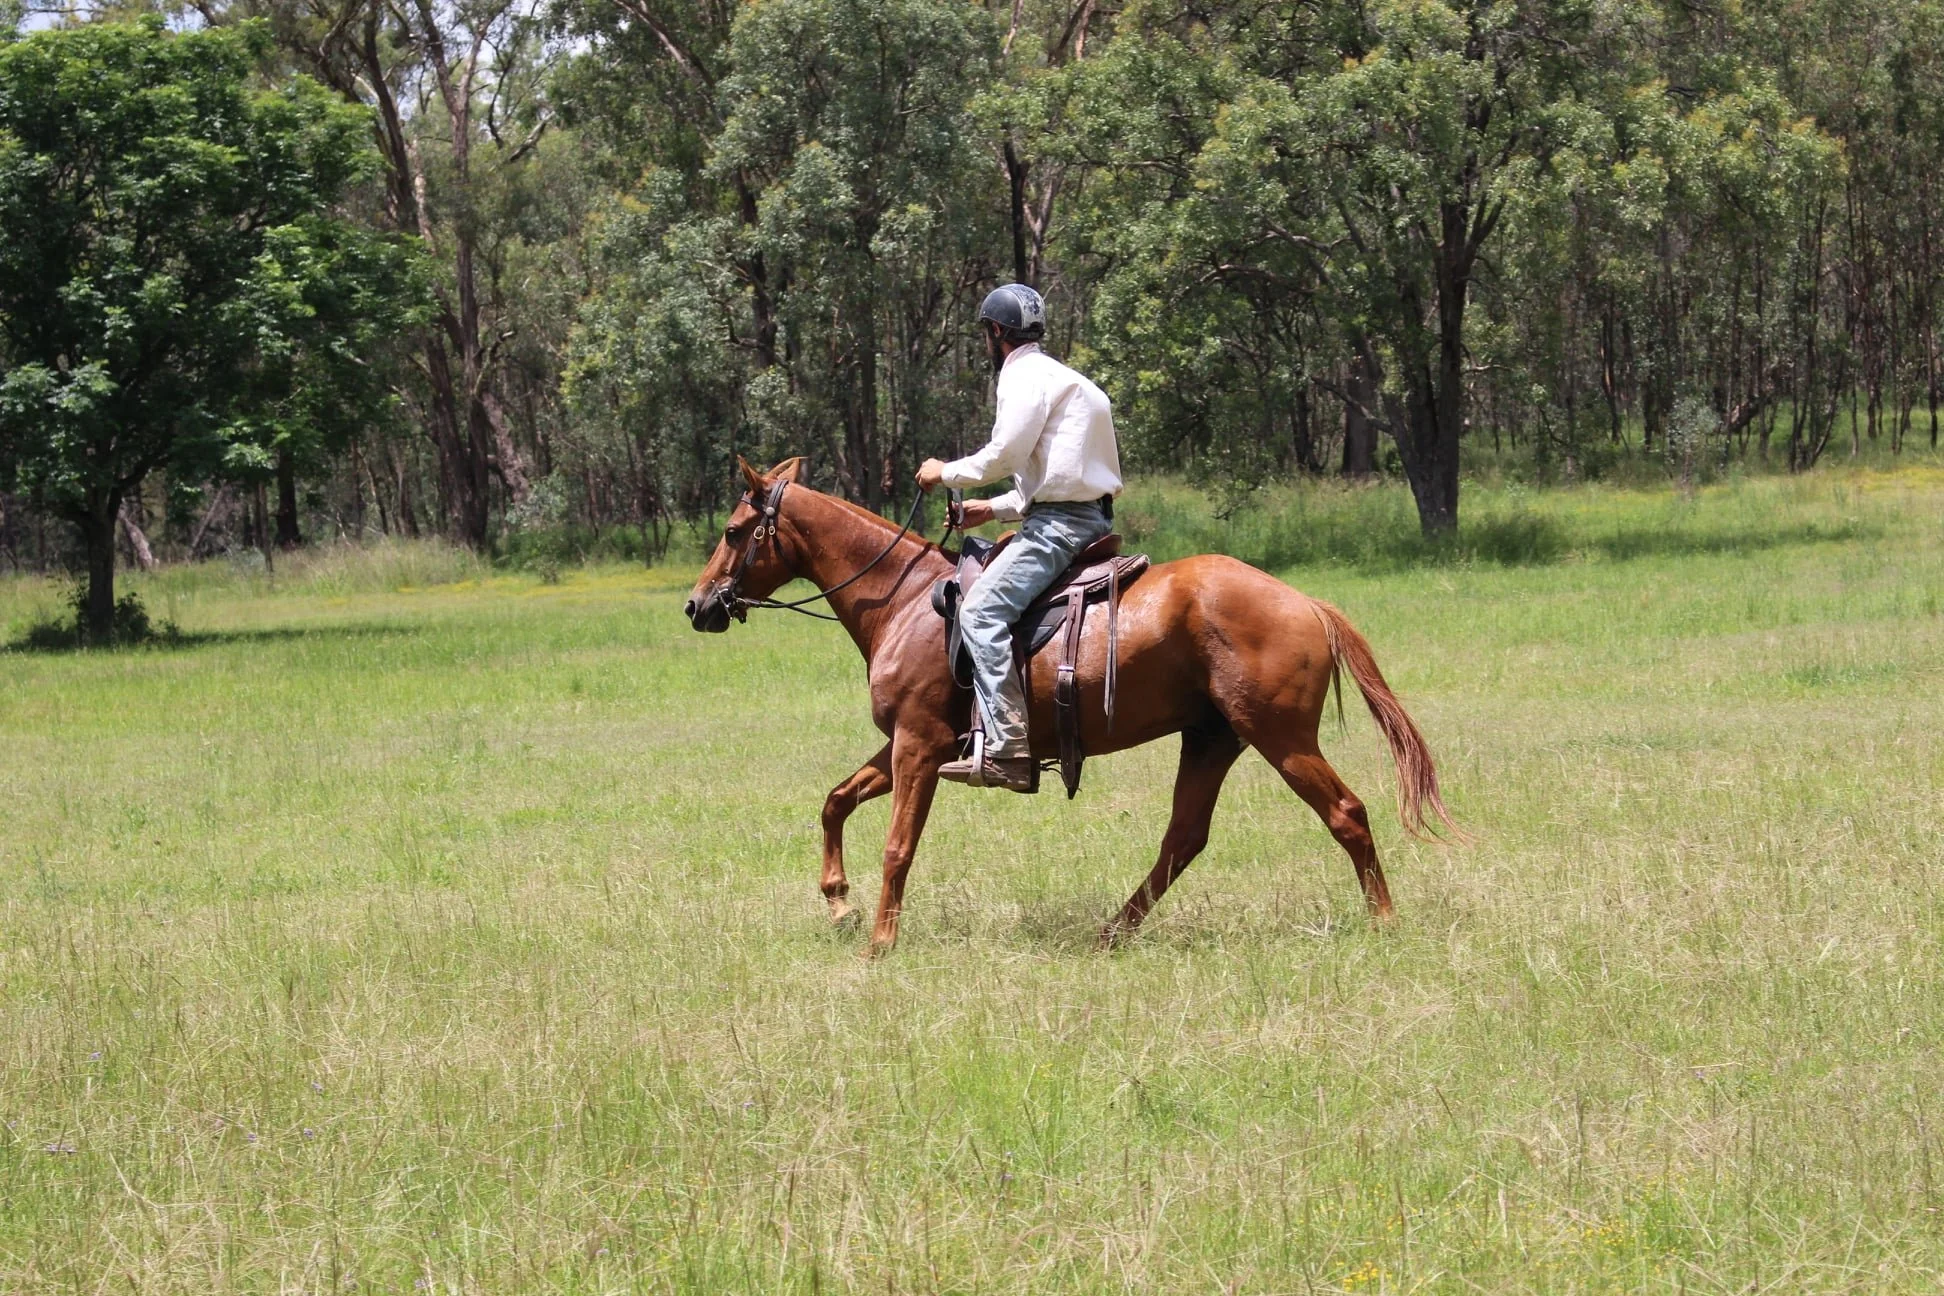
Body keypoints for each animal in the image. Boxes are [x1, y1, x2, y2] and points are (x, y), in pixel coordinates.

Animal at [684, 456, 1461, 956]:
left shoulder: (917, 745)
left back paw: (1385, 923)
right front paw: (839, 901)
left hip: (1281, 738)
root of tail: (1307, 603)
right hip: (1212, 738)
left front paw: (879, 940)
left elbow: (899, 845)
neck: (902, 599)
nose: (697, 605)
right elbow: (836, 800)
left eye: (732, 531)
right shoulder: (912, 742)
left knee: (1346, 813)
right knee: (1183, 840)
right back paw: (1112, 934)